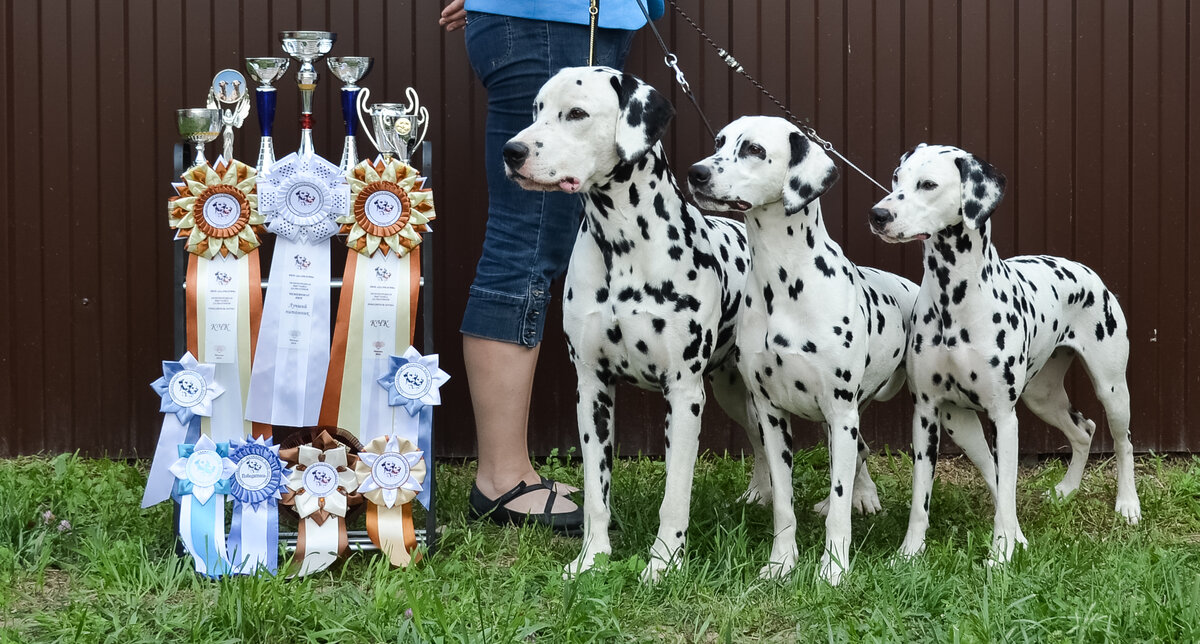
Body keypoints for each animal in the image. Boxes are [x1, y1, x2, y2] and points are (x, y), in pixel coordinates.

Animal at [501, 67, 772, 585]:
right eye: (536, 110)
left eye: (577, 113)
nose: (512, 151)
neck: (622, 244)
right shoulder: (592, 391)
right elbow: (595, 494)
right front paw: (591, 558)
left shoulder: (684, 396)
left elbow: (675, 497)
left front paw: (664, 563)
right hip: (733, 389)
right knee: (759, 438)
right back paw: (761, 494)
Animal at [686, 114, 916, 582]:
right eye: (719, 142)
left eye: (754, 149)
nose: (696, 173)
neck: (784, 283)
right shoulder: (772, 416)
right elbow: (783, 503)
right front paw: (781, 564)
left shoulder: (841, 411)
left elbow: (840, 509)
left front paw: (834, 569)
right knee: (857, 454)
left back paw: (861, 498)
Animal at [868, 144, 1137, 561]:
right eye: (896, 179)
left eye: (928, 184)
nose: (878, 215)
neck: (954, 300)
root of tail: (1086, 271)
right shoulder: (927, 414)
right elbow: (921, 496)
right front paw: (910, 551)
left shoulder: (1004, 418)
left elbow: (1007, 488)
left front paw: (1002, 551)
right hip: (1028, 401)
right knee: (1083, 431)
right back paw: (1066, 491)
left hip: (1111, 389)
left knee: (1123, 442)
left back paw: (1127, 504)